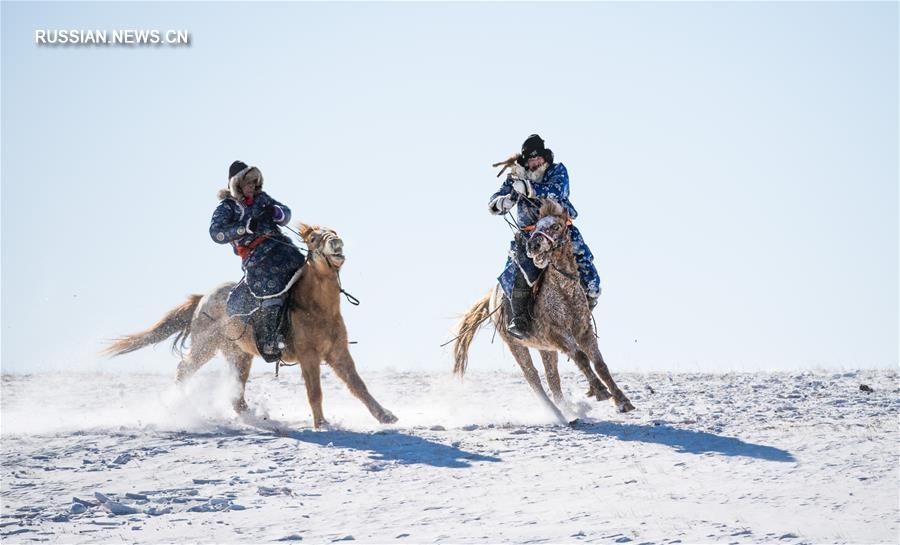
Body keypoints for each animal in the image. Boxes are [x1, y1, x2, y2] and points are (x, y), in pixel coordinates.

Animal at [104, 223, 398, 428]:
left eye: (333, 231)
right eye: (314, 239)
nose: (336, 242)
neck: (316, 308)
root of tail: (203, 298)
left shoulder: (339, 354)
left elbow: (359, 386)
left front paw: (386, 416)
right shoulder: (309, 357)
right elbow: (315, 392)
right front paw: (323, 424)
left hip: (240, 355)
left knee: (235, 392)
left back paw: (257, 418)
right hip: (204, 347)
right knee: (184, 370)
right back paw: (176, 407)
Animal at [450, 199, 632, 420]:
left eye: (556, 226)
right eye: (535, 227)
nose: (533, 245)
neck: (564, 291)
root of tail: (492, 295)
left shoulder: (584, 332)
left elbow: (600, 364)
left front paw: (622, 401)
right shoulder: (558, 334)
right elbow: (581, 357)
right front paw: (600, 391)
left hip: (545, 348)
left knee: (552, 377)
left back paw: (568, 411)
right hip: (516, 345)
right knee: (533, 377)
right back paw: (558, 415)